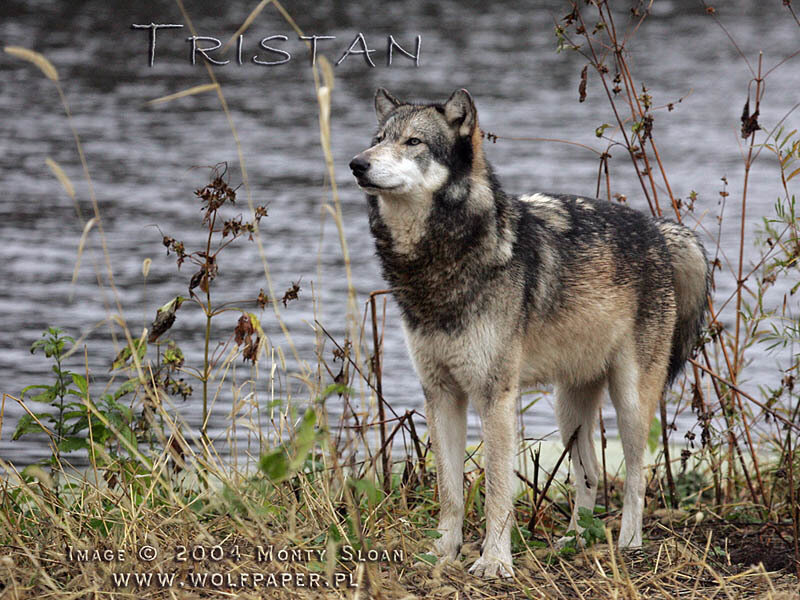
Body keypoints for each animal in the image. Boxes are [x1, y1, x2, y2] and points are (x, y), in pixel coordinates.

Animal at [349, 88, 709, 578]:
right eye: (379, 139)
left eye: (413, 142)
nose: (356, 164)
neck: (439, 261)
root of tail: (660, 230)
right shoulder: (440, 394)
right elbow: (450, 491)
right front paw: (442, 553)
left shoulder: (496, 396)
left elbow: (498, 490)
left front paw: (494, 562)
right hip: (569, 407)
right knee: (590, 474)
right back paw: (575, 540)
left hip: (630, 401)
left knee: (636, 476)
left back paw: (628, 544)